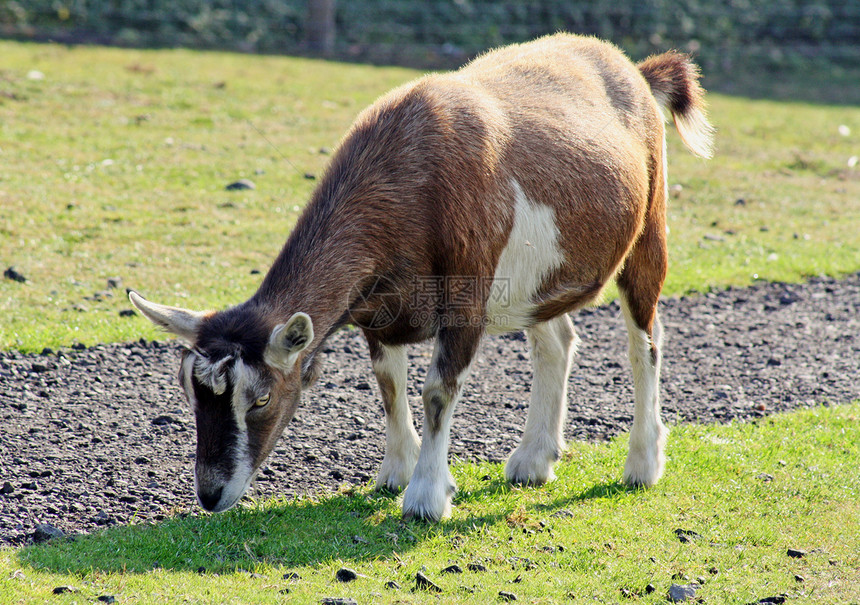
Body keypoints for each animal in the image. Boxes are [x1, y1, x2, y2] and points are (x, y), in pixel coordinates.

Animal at [131, 33, 716, 520]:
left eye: (260, 399)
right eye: (190, 393)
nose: (210, 495)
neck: (407, 176)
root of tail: (636, 71)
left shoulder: (467, 299)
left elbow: (437, 391)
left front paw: (426, 497)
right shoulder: (377, 311)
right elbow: (389, 385)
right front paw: (396, 472)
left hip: (649, 227)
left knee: (646, 341)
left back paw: (642, 464)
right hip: (535, 279)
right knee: (556, 341)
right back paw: (533, 459)